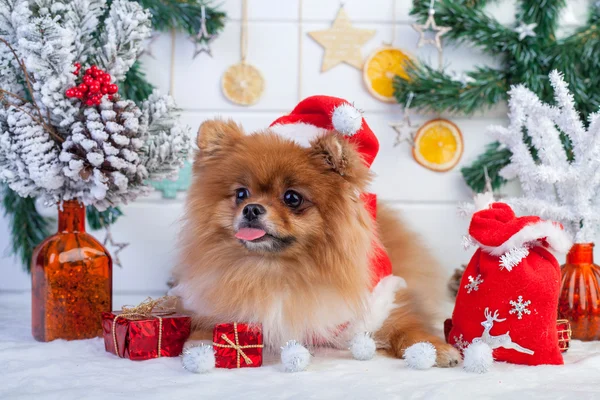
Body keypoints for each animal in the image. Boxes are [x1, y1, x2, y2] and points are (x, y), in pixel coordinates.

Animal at [171, 99, 462, 366]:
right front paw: (201, 346)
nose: (251, 209)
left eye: (292, 198)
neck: (275, 271)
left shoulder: (381, 301)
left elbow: (407, 325)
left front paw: (432, 349)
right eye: (241, 194)